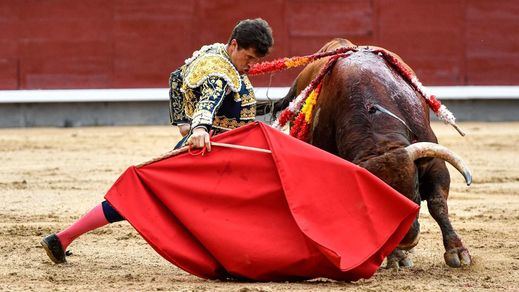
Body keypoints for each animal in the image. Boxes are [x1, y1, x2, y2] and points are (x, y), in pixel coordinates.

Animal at [274, 38, 474, 270]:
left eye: (415, 187)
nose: (406, 241)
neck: (378, 139)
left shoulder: (434, 163)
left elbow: (438, 204)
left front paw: (457, 252)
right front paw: (396, 256)